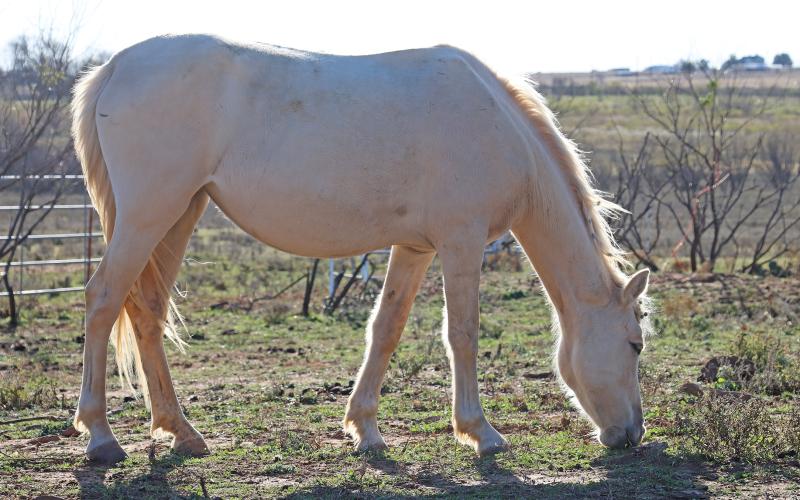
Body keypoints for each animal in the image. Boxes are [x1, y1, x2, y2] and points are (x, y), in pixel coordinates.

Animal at [71, 34, 651, 464]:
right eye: (634, 345)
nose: (632, 435)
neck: (495, 122)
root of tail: (115, 67)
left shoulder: (414, 248)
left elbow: (386, 328)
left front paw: (365, 430)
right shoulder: (461, 242)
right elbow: (462, 334)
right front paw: (480, 432)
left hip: (178, 215)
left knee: (147, 312)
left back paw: (182, 432)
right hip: (148, 217)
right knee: (103, 299)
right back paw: (101, 438)